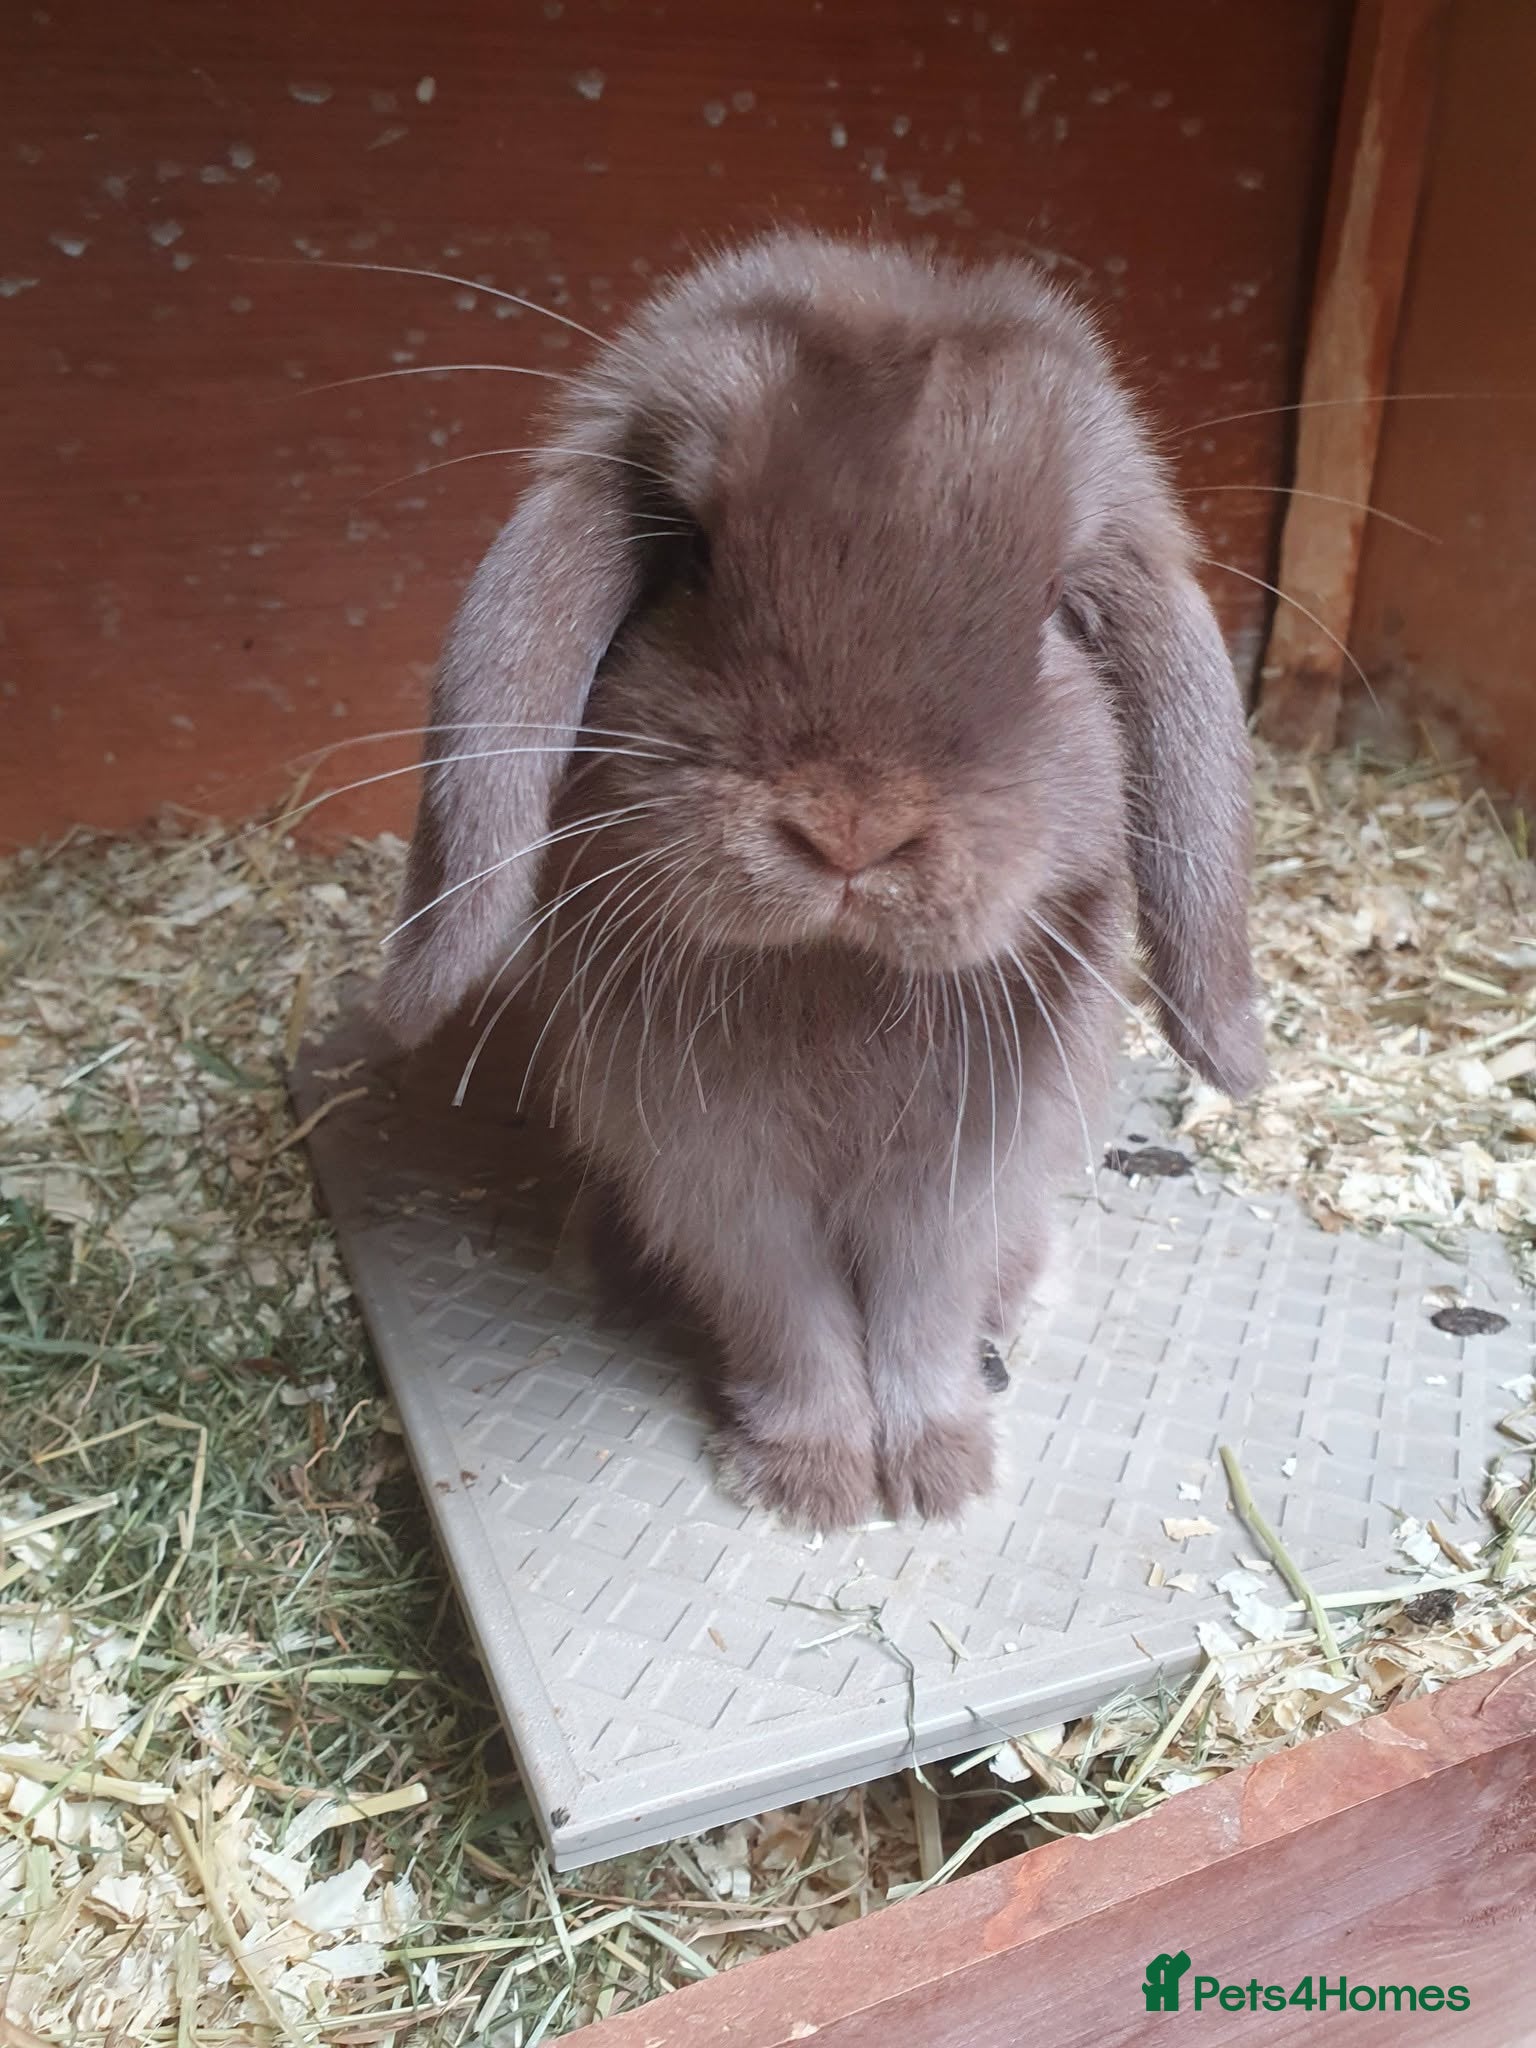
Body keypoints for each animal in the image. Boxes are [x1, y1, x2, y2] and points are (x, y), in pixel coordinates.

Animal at [376, 232, 1266, 1531]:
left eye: (1055, 607)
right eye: (689, 557)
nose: (853, 824)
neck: (837, 973)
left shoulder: (957, 1183)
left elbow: (919, 1316)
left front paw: (941, 1473)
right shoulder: (718, 1185)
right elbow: (789, 1320)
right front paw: (814, 1481)